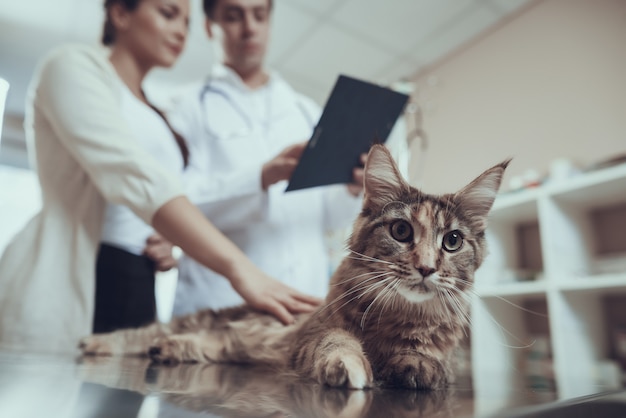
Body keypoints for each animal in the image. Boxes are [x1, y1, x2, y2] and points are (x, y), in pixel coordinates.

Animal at [79, 145, 508, 392]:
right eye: (401, 231)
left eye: (452, 241)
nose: (426, 267)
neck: (395, 316)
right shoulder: (316, 331)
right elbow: (339, 345)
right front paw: (350, 367)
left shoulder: (444, 353)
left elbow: (432, 362)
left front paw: (416, 366)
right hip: (191, 321)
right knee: (138, 334)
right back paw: (96, 344)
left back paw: (169, 350)